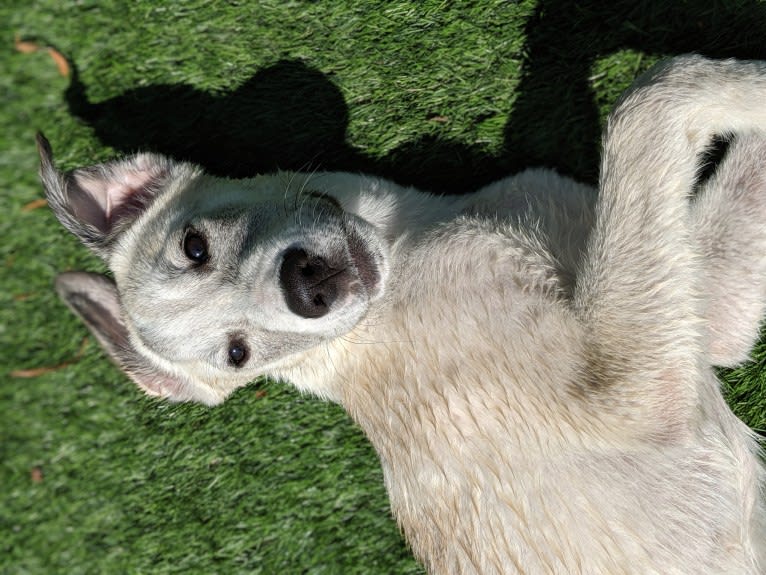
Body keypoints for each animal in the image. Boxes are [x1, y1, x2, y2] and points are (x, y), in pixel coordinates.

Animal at [39, 55, 766, 575]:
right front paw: (753, 84)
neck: (408, 249)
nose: (308, 286)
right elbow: (648, 99)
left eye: (194, 246)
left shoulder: (708, 317)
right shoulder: (629, 394)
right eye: (237, 353)